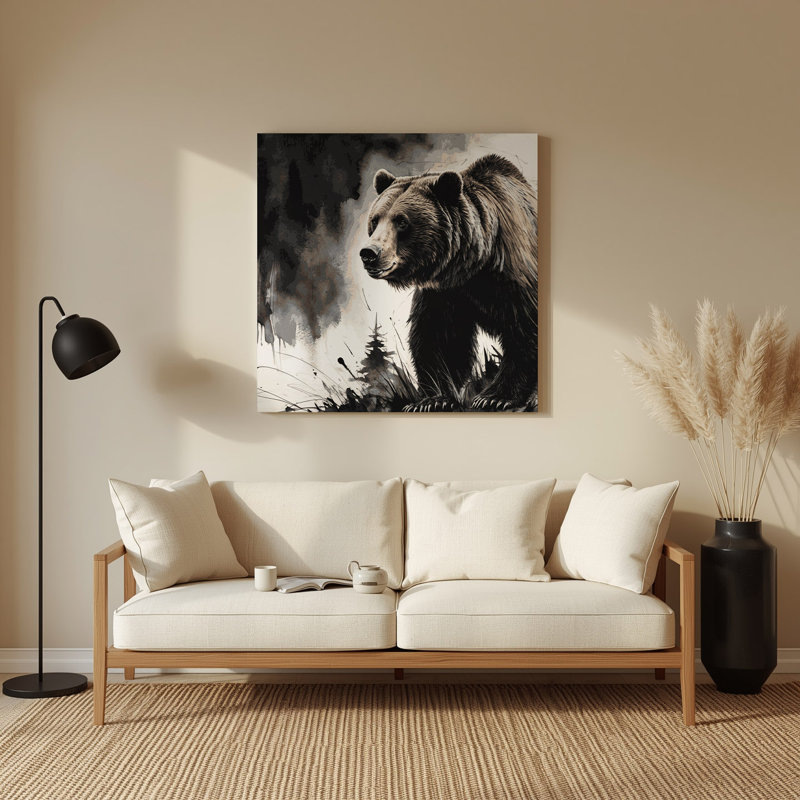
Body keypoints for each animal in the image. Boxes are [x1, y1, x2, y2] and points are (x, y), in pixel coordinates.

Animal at [359, 153, 538, 411]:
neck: (473, 266)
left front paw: (494, 397)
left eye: (401, 221)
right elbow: (440, 337)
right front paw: (432, 400)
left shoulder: (514, 274)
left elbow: (524, 328)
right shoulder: (445, 291)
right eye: (375, 220)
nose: (369, 253)